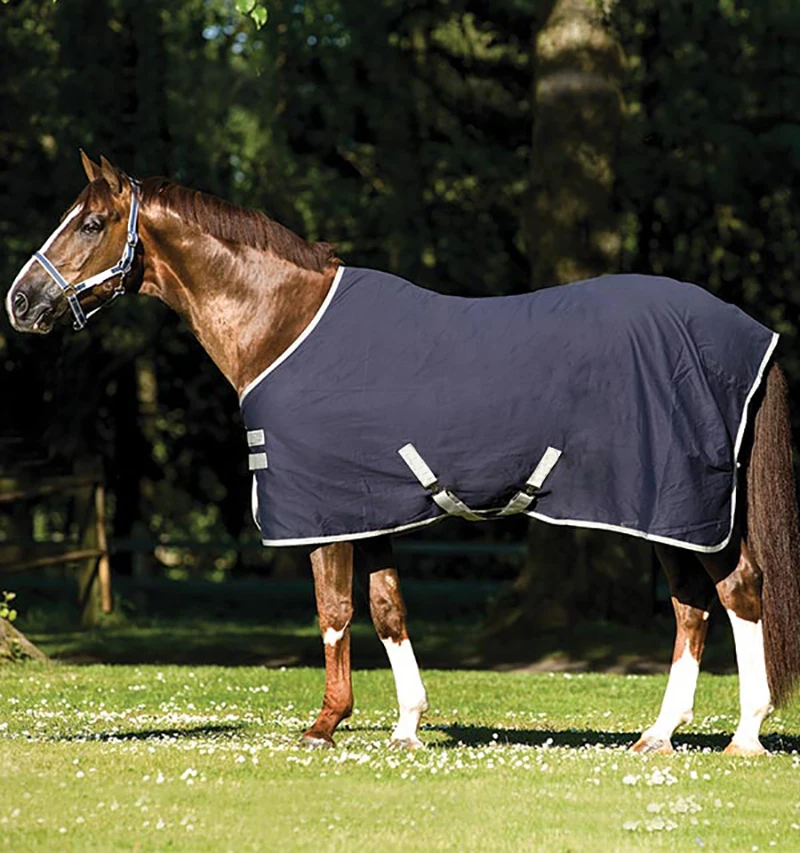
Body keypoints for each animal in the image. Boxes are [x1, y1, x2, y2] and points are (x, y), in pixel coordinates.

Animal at [6, 152, 800, 756]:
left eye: (91, 222)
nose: (20, 301)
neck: (285, 323)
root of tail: (748, 333)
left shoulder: (323, 511)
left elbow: (332, 611)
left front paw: (325, 725)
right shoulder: (371, 508)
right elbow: (387, 607)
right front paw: (408, 726)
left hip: (680, 506)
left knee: (738, 593)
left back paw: (745, 736)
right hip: (668, 514)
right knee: (693, 608)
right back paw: (659, 734)